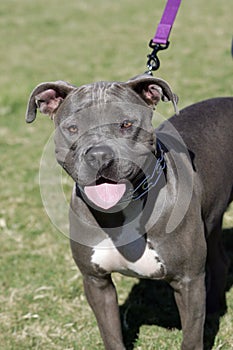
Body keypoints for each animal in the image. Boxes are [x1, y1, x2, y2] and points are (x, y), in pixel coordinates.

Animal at [26, 75, 233, 348]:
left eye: (126, 124)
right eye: (73, 128)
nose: (99, 155)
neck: (120, 210)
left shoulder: (188, 281)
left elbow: (191, 338)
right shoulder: (96, 281)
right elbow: (110, 333)